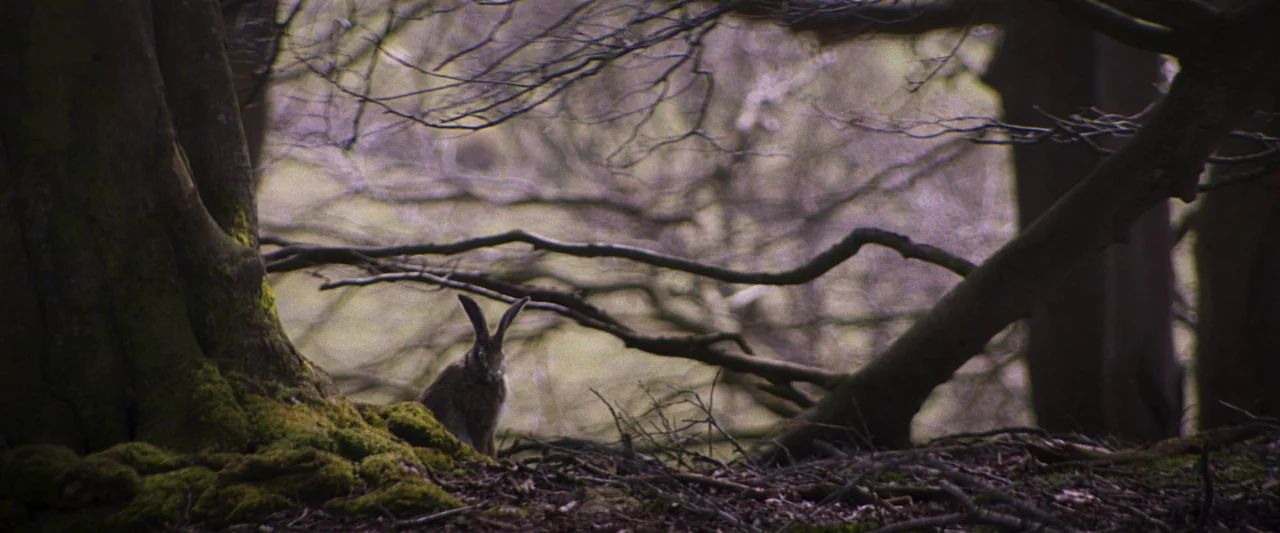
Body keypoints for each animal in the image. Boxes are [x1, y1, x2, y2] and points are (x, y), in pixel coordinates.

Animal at [419, 294, 530, 456]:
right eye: (481, 355)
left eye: (502, 356)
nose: (494, 375)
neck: (473, 372)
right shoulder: (482, 418)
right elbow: (483, 445)